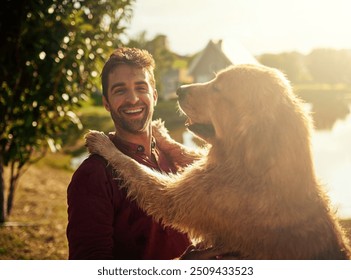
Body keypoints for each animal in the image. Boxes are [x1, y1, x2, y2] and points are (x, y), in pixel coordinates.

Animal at [86, 64, 351, 260]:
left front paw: (105, 144)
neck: (253, 162)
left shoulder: (179, 197)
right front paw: (161, 132)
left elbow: (135, 168)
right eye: (213, 80)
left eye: (218, 89)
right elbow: (187, 153)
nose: (179, 89)